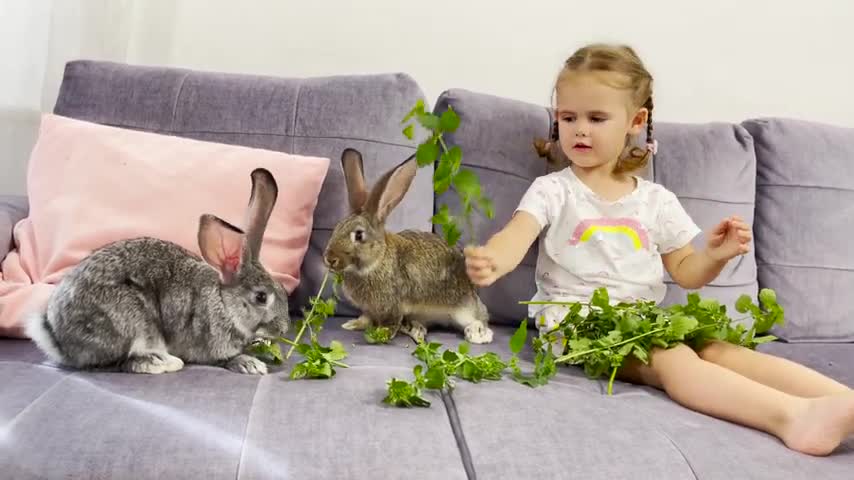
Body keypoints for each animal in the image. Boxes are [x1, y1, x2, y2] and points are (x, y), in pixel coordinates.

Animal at [25, 169, 290, 376]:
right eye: (261, 297)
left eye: (283, 290)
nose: (284, 329)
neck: (224, 303)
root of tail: (57, 338)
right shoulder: (212, 345)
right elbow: (225, 359)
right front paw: (251, 365)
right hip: (127, 322)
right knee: (114, 363)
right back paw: (161, 362)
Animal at [322, 148, 494, 344]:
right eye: (336, 228)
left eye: (358, 235)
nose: (329, 259)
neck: (377, 260)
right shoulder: (369, 309)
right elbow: (366, 317)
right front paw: (352, 325)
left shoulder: (391, 306)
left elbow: (390, 323)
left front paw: (380, 335)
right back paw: (415, 330)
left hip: (463, 308)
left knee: (480, 319)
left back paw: (477, 334)